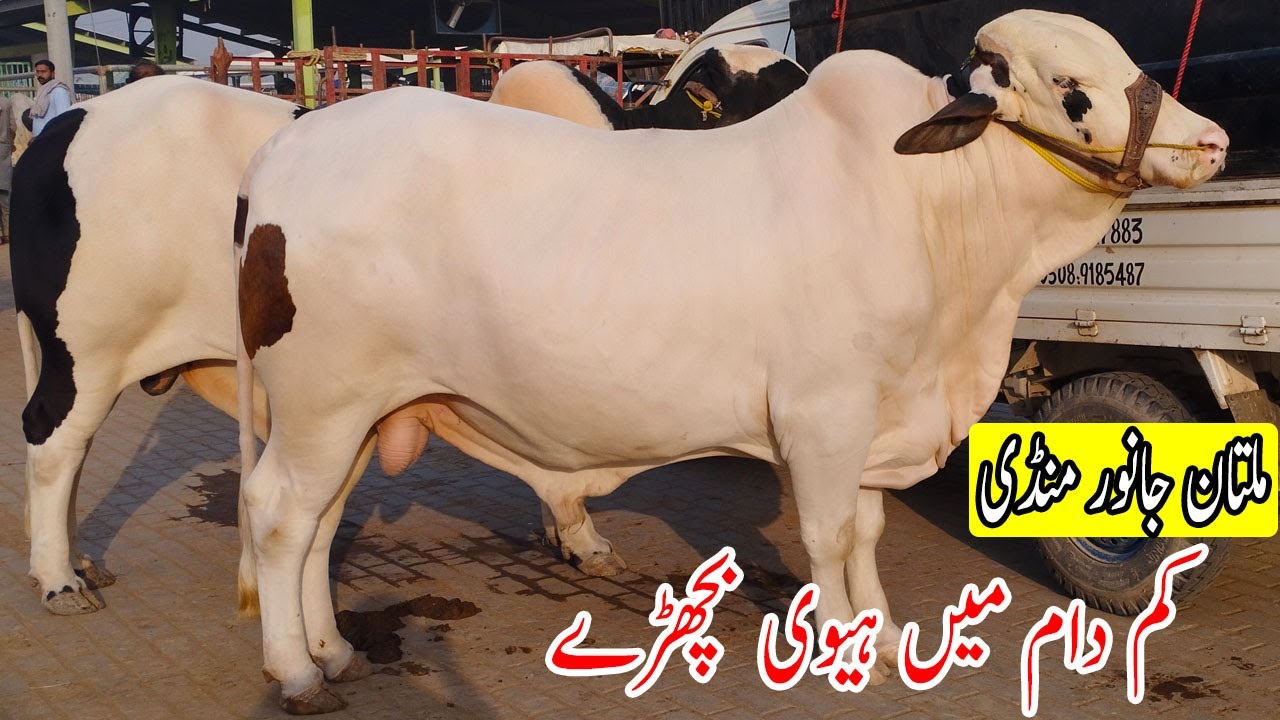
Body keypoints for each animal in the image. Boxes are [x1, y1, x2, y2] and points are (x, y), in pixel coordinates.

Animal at [9, 76, 307, 615]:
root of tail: (57, 130)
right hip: (87, 351)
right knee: (50, 438)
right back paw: (59, 581)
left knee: (76, 446)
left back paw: (79, 561)